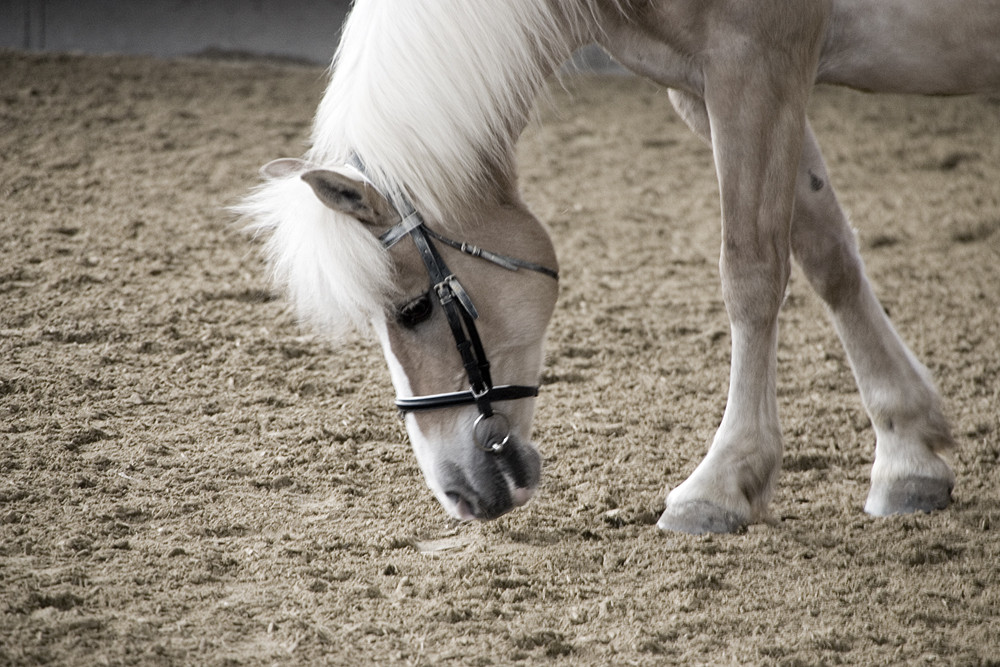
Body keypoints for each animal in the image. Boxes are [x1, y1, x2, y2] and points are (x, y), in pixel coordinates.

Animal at [242, 0, 1000, 532]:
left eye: (414, 309)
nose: (458, 492)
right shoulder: (708, 86)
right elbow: (826, 254)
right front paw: (907, 458)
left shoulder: (755, 64)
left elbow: (751, 270)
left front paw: (721, 482)